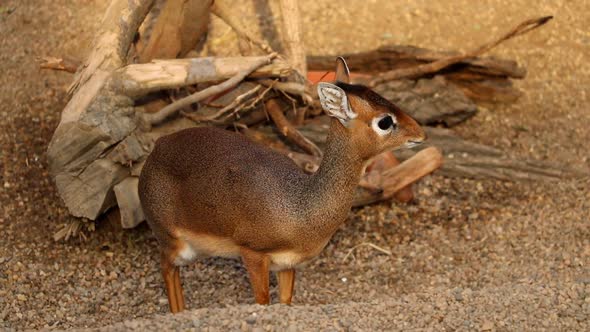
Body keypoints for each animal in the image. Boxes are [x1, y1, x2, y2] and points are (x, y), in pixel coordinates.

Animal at [139, 55, 426, 312]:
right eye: (385, 121)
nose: (420, 133)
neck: (300, 207)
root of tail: (157, 148)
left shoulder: (288, 264)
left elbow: (286, 302)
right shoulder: (252, 254)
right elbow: (262, 301)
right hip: (173, 242)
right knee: (166, 269)